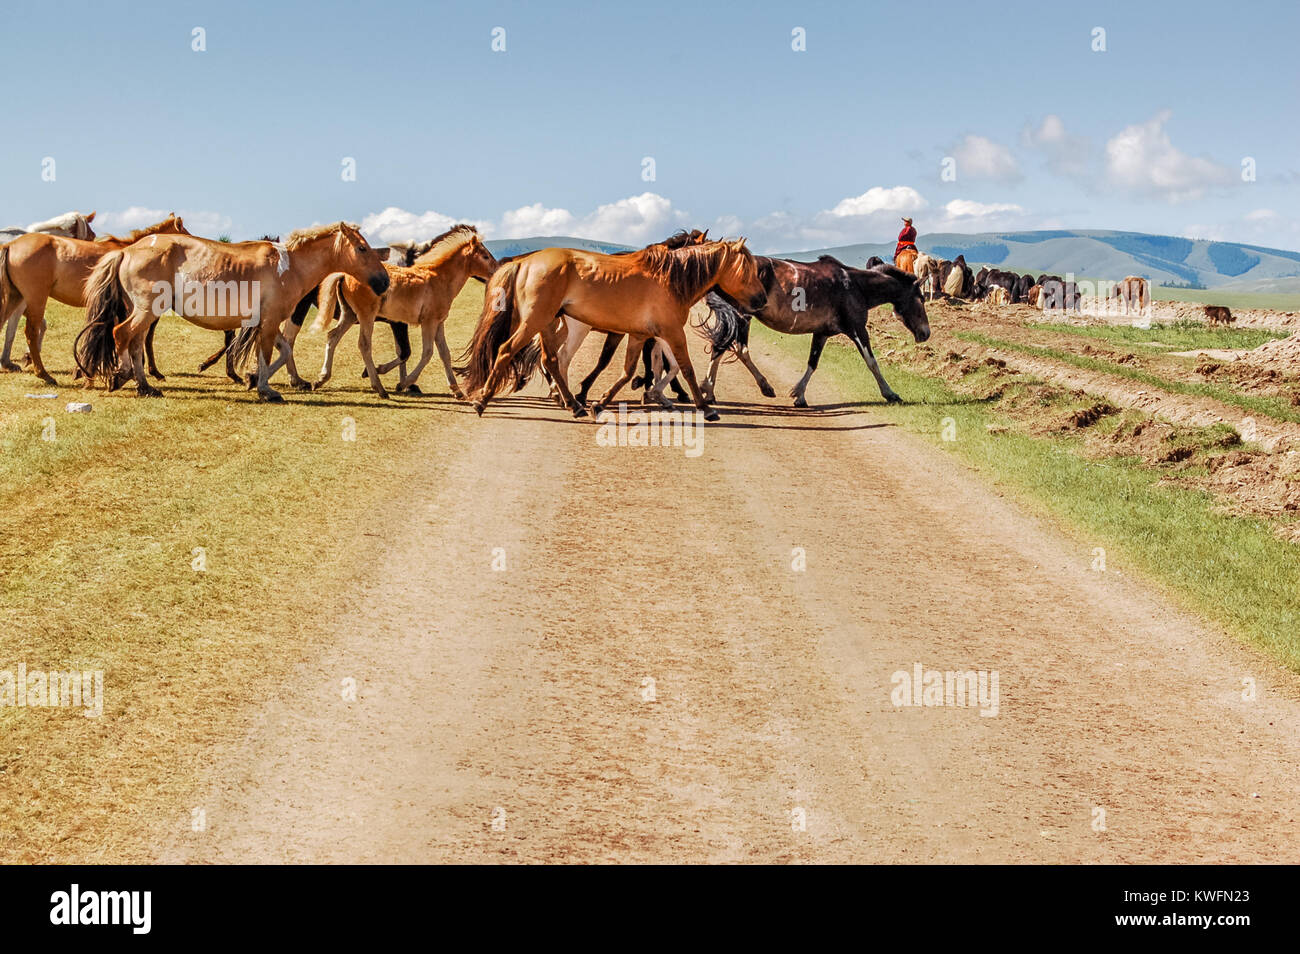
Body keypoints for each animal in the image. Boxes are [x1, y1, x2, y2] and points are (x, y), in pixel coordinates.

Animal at [75, 222, 387, 402]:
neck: (289, 265)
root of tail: (127, 251)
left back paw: (145, 386)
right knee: (122, 334)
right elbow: (267, 354)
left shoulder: (265, 322)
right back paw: (122, 376)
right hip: (145, 310)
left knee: (136, 342)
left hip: (146, 312)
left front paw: (252, 379)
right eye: (362, 248)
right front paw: (264, 388)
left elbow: (283, 350)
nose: (384, 281)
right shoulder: (270, 321)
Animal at [306, 223, 499, 395]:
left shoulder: (439, 322)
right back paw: (379, 388)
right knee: (364, 344)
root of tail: (344, 274)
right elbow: (426, 352)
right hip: (366, 315)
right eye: (485, 256)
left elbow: (445, 353)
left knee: (332, 336)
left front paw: (456, 390)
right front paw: (403, 383)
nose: (497, 270)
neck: (439, 278)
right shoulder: (427, 322)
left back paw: (321, 379)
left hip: (350, 314)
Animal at [460, 239, 764, 421]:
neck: (670, 280)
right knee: (507, 350)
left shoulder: (640, 335)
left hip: (546, 323)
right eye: (748, 269)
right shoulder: (671, 333)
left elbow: (629, 371)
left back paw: (574, 404)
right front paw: (705, 408)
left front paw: (601, 403)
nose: (761, 300)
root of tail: (524, 262)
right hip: (536, 321)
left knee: (552, 360)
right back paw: (483, 401)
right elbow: (685, 368)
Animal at [696, 256, 930, 405]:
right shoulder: (857, 330)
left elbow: (813, 362)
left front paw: (799, 395)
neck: (855, 285)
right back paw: (758, 387)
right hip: (741, 317)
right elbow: (872, 363)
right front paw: (890, 393)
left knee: (722, 348)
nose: (926, 333)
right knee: (733, 348)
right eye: (921, 298)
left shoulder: (822, 333)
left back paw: (711, 391)